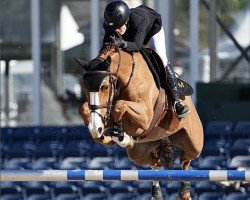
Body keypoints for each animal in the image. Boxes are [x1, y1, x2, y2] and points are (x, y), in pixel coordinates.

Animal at [75, 38, 203, 200]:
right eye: (84, 86)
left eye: (105, 87)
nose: (96, 127)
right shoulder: (105, 112)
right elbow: (85, 108)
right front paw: (103, 133)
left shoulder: (145, 117)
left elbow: (119, 105)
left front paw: (118, 134)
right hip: (140, 152)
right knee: (156, 162)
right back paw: (156, 192)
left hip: (194, 143)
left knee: (185, 159)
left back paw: (185, 191)